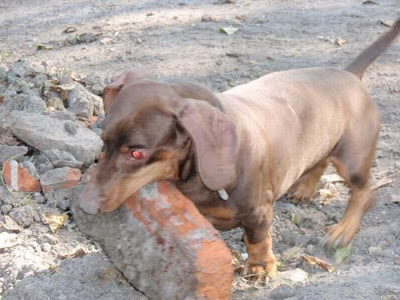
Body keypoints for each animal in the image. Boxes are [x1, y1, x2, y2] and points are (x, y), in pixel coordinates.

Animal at [80, 20, 400, 278]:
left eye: (137, 153)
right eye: (103, 141)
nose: (84, 206)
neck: (197, 178)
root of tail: (349, 74)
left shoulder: (258, 211)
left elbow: (257, 239)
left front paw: (260, 267)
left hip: (351, 159)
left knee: (364, 192)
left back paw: (343, 230)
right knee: (320, 161)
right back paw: (305, 189)